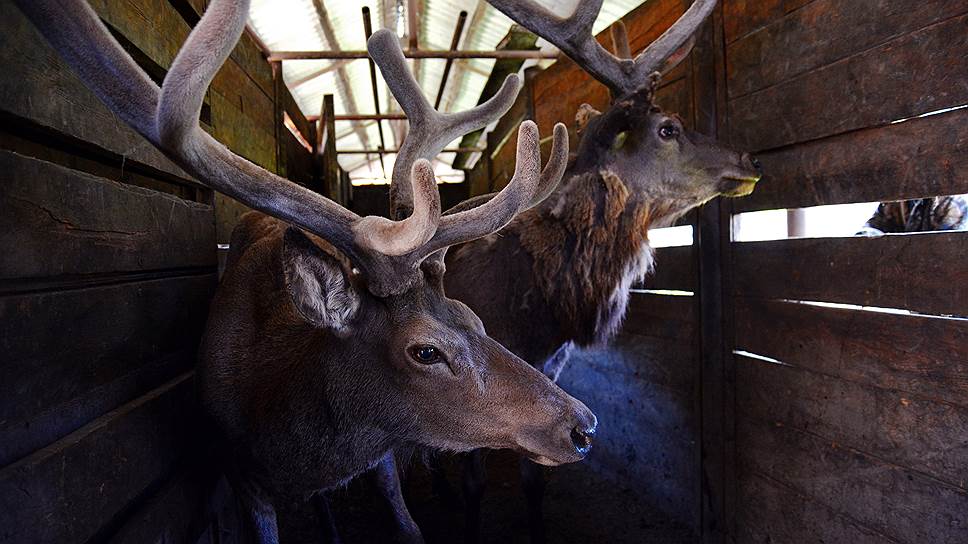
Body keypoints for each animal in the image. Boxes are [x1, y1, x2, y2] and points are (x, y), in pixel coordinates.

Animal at [15, 1, 600, 544]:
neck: (290, 437)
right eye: (425, 351)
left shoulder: (380, 455)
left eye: (475, 320)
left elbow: (407, 525)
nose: (582, 425)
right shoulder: (242, 475)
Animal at [386, 0, 756, 540]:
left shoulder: (550, 370)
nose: (749, 159)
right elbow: (474, 481)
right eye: (668, 128)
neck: (539, 312)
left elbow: (535, 480)